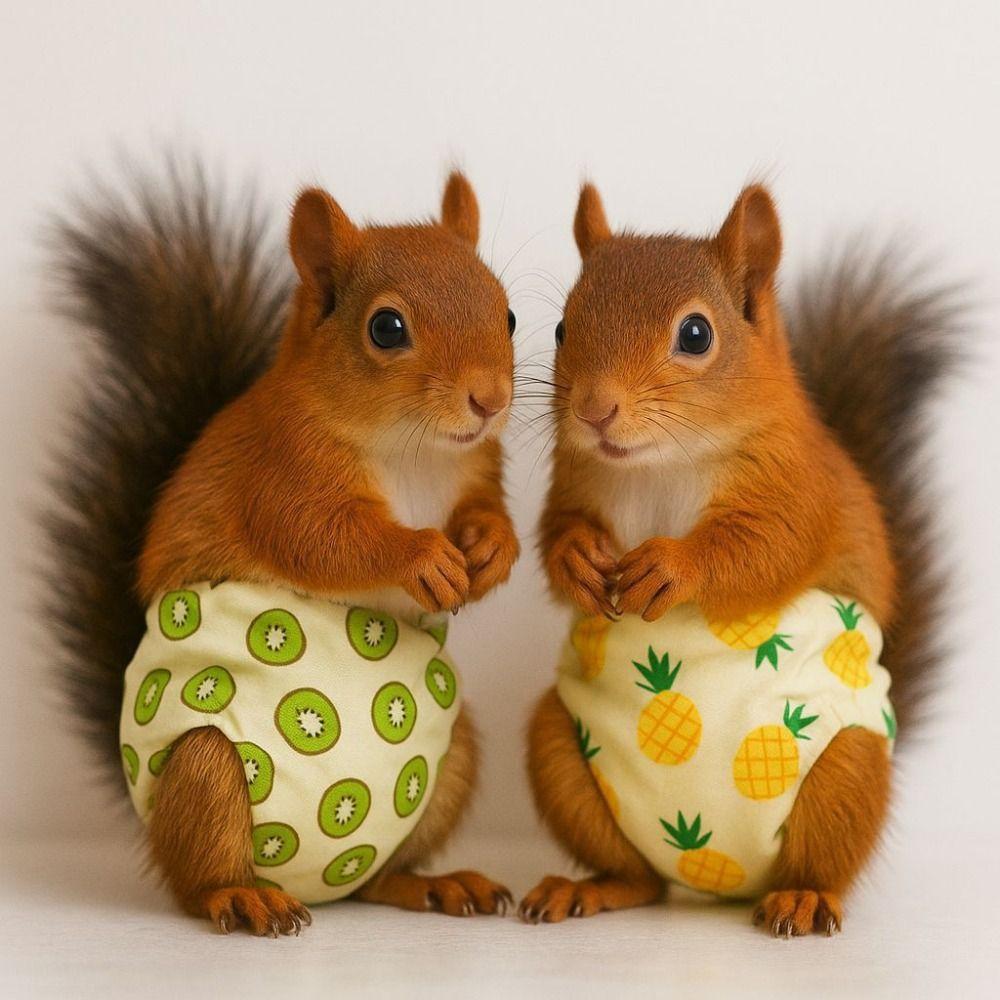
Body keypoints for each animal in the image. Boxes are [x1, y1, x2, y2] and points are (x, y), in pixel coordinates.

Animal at [44, 162, 519, 934]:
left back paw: (433, 885)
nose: (490, 400)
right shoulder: (281, 473)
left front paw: (491, 550)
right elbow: (327, 540)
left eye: (506, 313)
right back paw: (238, 897)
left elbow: (486, 512)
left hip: (453, 759)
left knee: (375, 879)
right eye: (386, 327)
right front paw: (422, 557)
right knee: (197, 877)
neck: (412, 450)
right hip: (206, 768)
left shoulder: (477, 469)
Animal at [520, 183, 953, 935]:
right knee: (640, 878)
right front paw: (577, 559)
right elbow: (554, 536)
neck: (662, 464)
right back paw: (596, 888)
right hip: (560, 753)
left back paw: (805, 897)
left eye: (696, 335)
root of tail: (722, 878)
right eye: (562, 329)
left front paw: (672, 566)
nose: (594, 411)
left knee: (819, 861)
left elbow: (762, 548)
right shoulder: (574, 482)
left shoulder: (799, 488)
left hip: (846, 768)